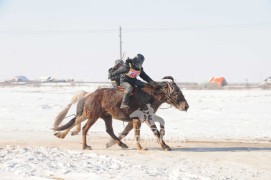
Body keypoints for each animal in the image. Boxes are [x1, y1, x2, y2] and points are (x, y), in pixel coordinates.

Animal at [53, 76, 189, 150]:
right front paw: (162, 146)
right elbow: (151, 131)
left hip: (103, 116)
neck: (150, 95)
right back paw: (84, 145)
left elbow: (127, 131)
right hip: (93, 116)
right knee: (84, 128)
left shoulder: (138, 119)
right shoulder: (145, 118)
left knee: (99, 127)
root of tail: (89, 94)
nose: (186, 106)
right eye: (176, 91)